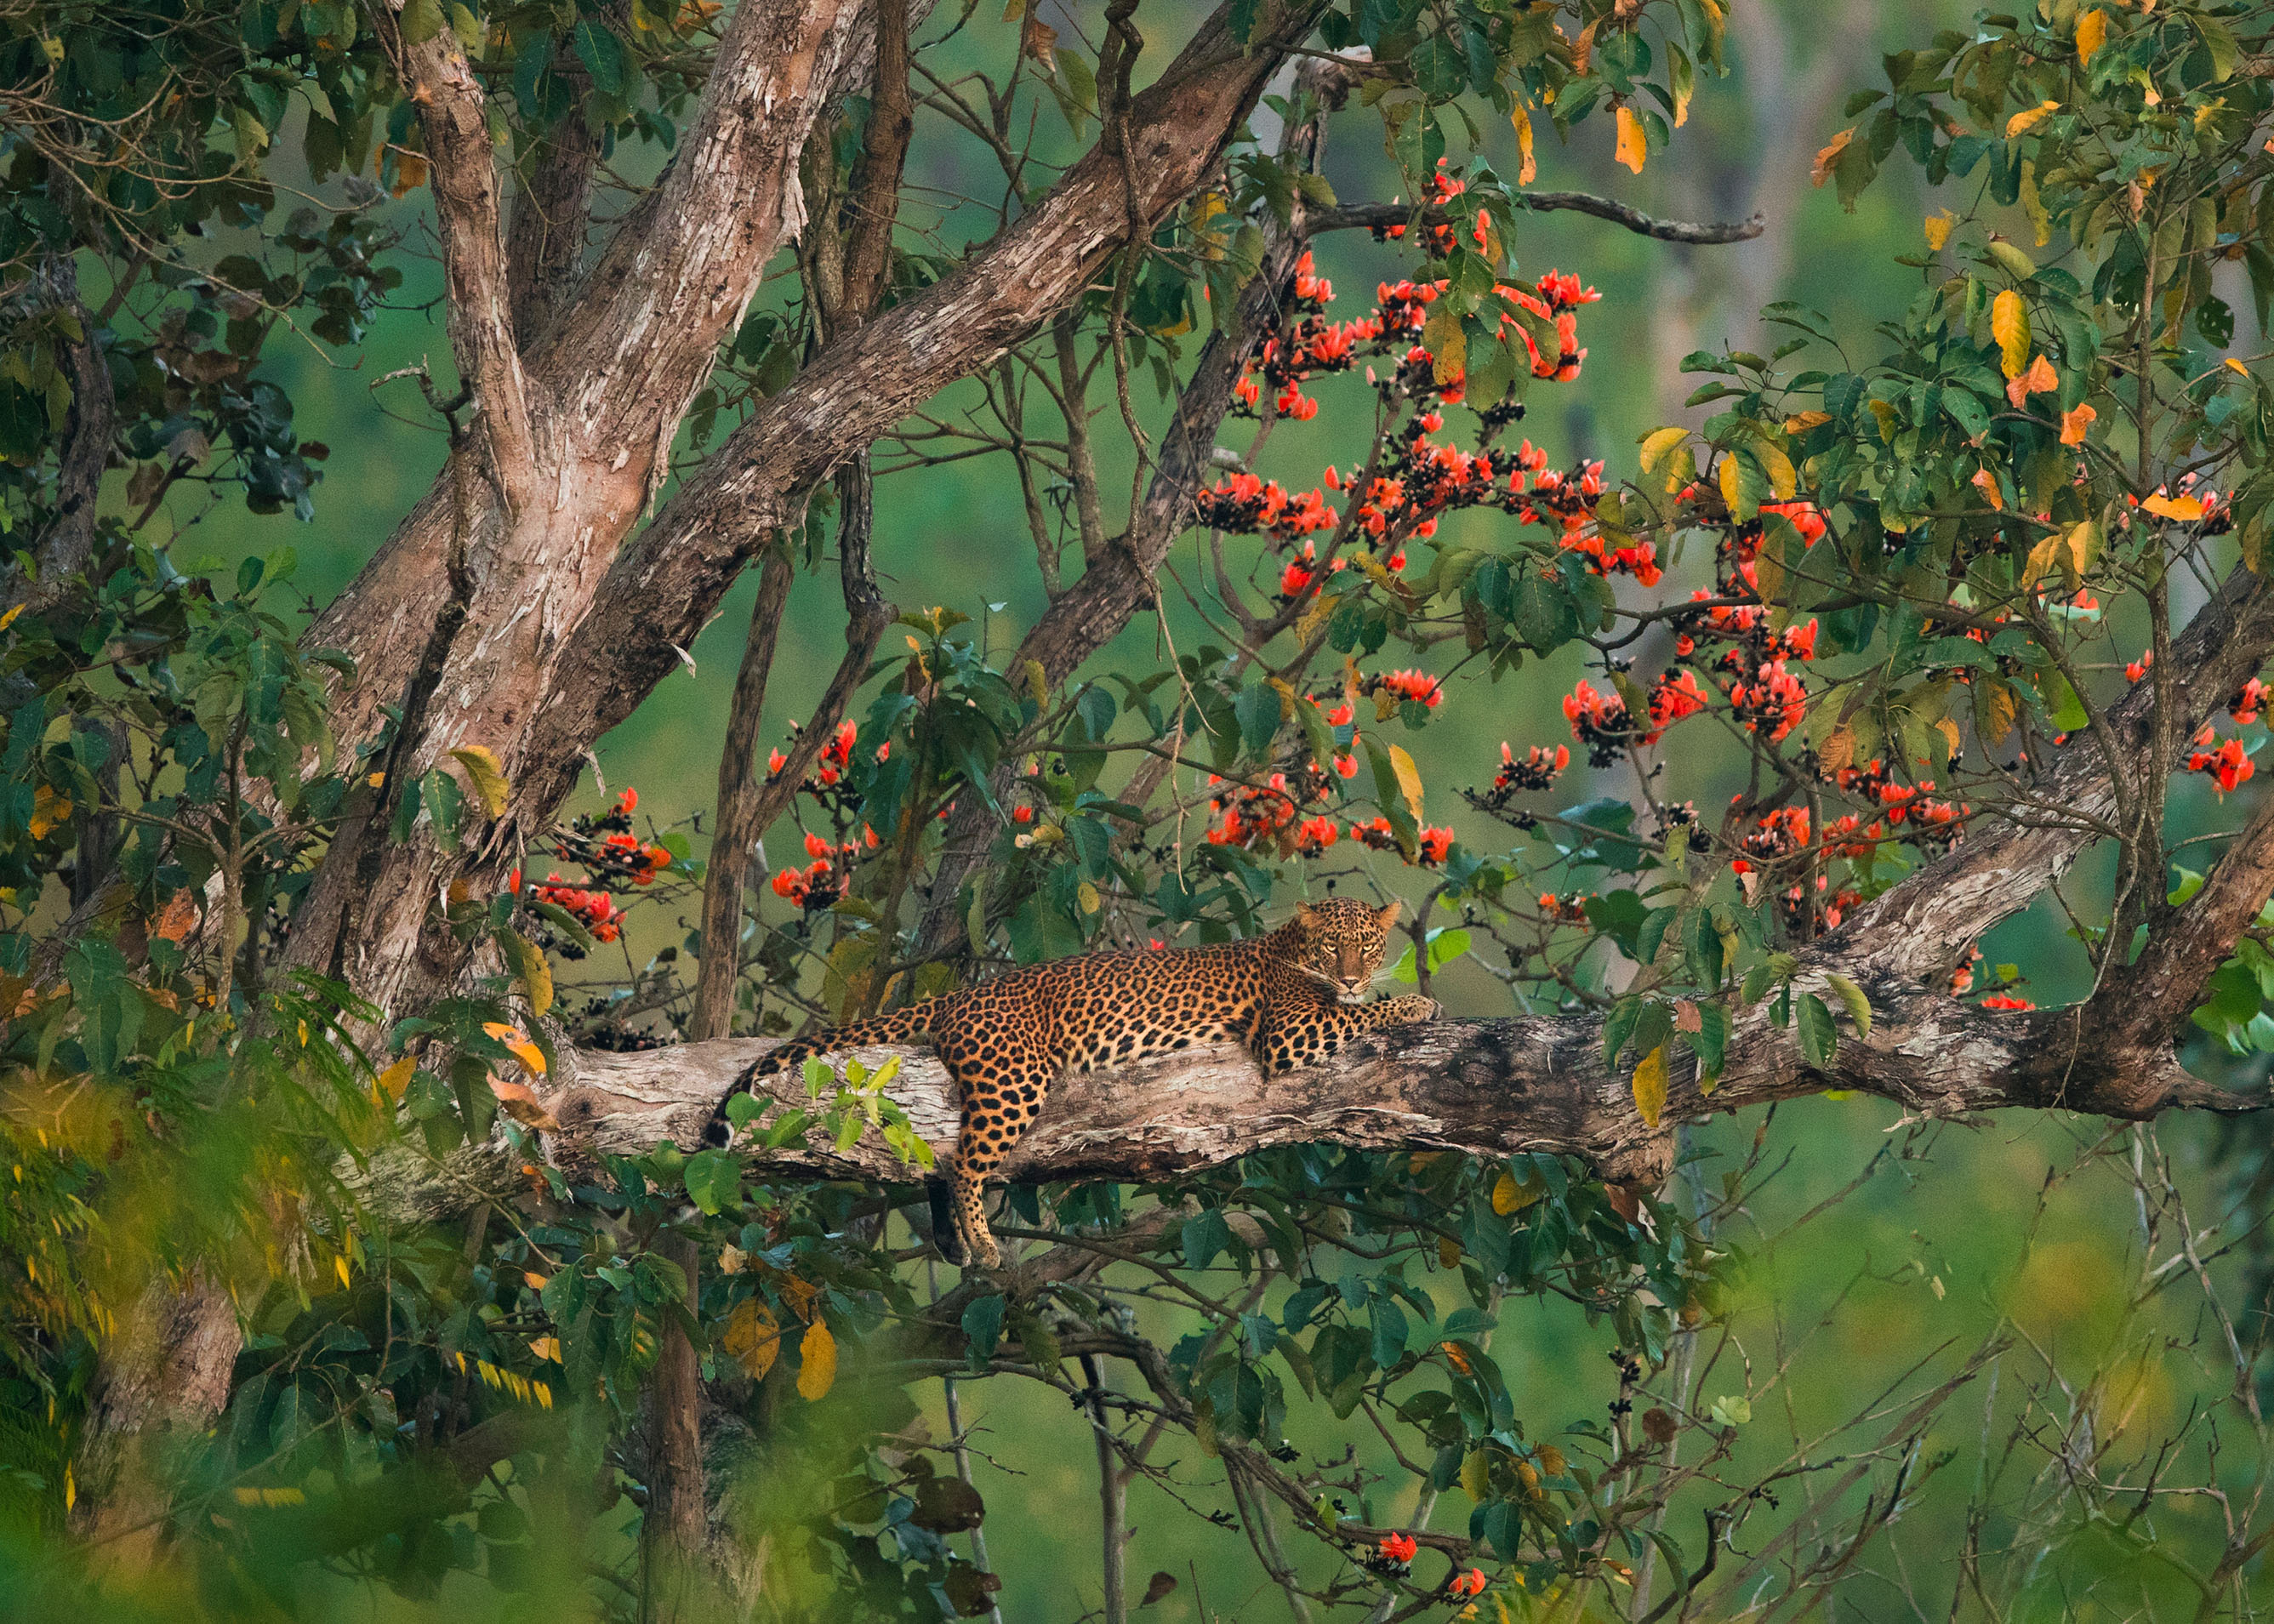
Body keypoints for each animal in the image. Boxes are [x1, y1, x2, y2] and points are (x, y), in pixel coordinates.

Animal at [714, 896, 1437, 1264]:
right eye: (1332, 947)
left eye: (1368, 945)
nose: (1351, 974)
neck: (1289, 947)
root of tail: (960, 996)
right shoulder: (1288, 1033)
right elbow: (1358, 1014)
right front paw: (1417, 1004)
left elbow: (1358, 1008)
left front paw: (1396, 996)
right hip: (1014, 1077)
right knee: (964, 1163)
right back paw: (981, 1240)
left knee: (946, 1159)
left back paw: (953, 1240)